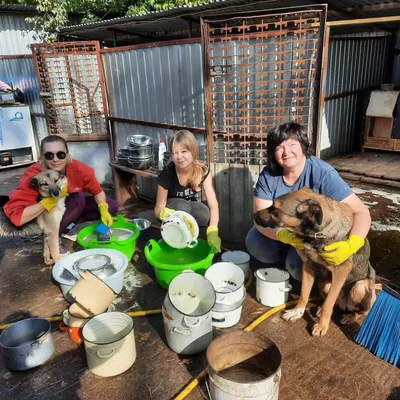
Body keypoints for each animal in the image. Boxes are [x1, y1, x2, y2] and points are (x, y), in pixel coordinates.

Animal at [255, 188, 376, 338]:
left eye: (275, 209)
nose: (255, 215)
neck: (317, 233)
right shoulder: (308, 265)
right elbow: (304, 294)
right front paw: (297, 312)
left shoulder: (342, 270)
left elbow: (329, 303)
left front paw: (322, 326)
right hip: (324, 284)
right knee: (333, 301)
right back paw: (320, 309)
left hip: (360, 287)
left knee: (360, 311)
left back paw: (350, 316)